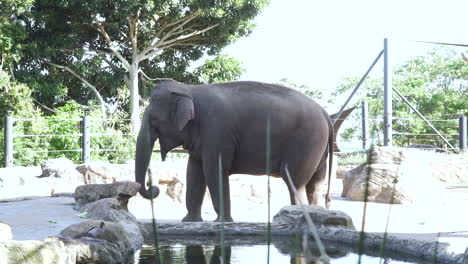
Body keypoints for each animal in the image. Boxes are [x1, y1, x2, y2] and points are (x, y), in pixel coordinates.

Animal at [134, 79, 332, 222]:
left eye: (154, 120)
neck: (188, 89)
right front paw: (189, 222)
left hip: (307, 141)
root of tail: (325, 113)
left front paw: (222, 222)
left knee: (294, 181)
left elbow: (214, 171)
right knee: (315, 184)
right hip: (318, 148)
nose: (154, 189)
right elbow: (194, 172)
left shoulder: (217, 131)